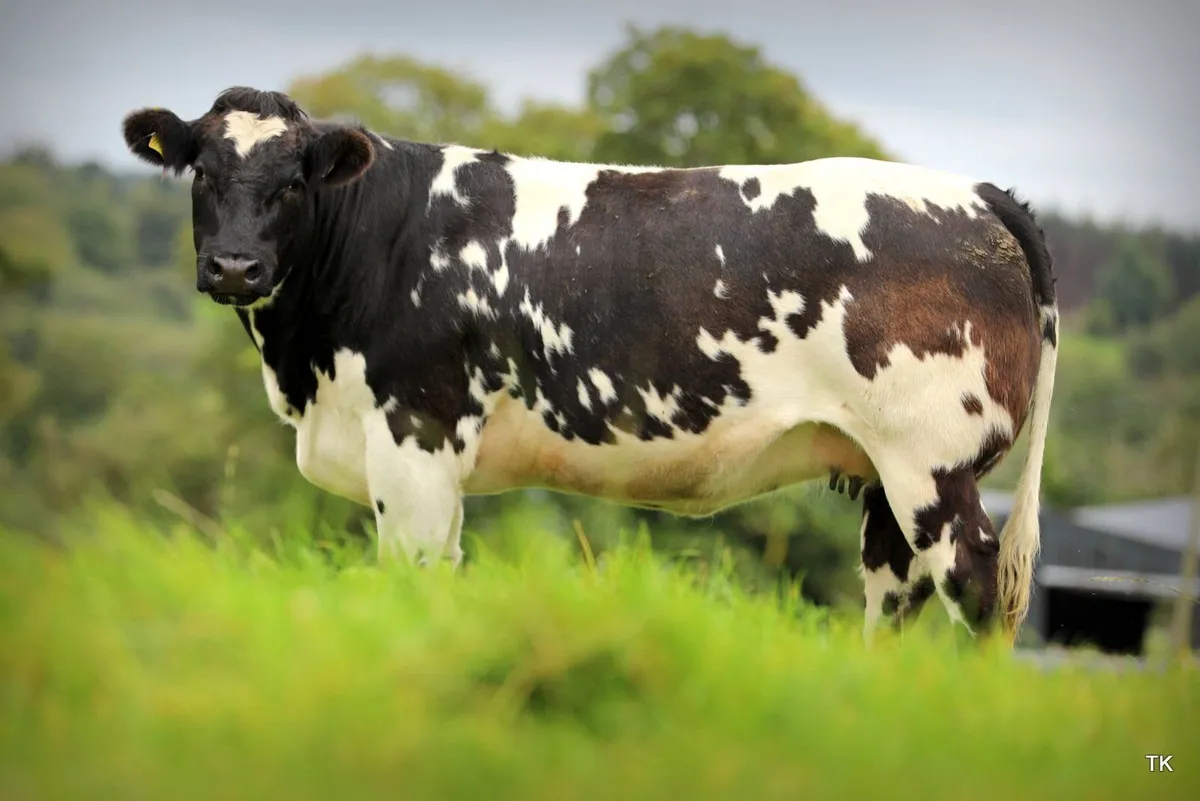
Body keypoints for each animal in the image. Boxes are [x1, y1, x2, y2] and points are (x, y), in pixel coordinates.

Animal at [121, 87, 1058, 646]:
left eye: (291, 184)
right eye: (201, 172)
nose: (235, 266)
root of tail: (976, 192)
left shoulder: (416, 436)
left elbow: (412, 579)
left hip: (935, 466)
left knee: (980, 591)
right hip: (885, 479)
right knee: (893, 605)